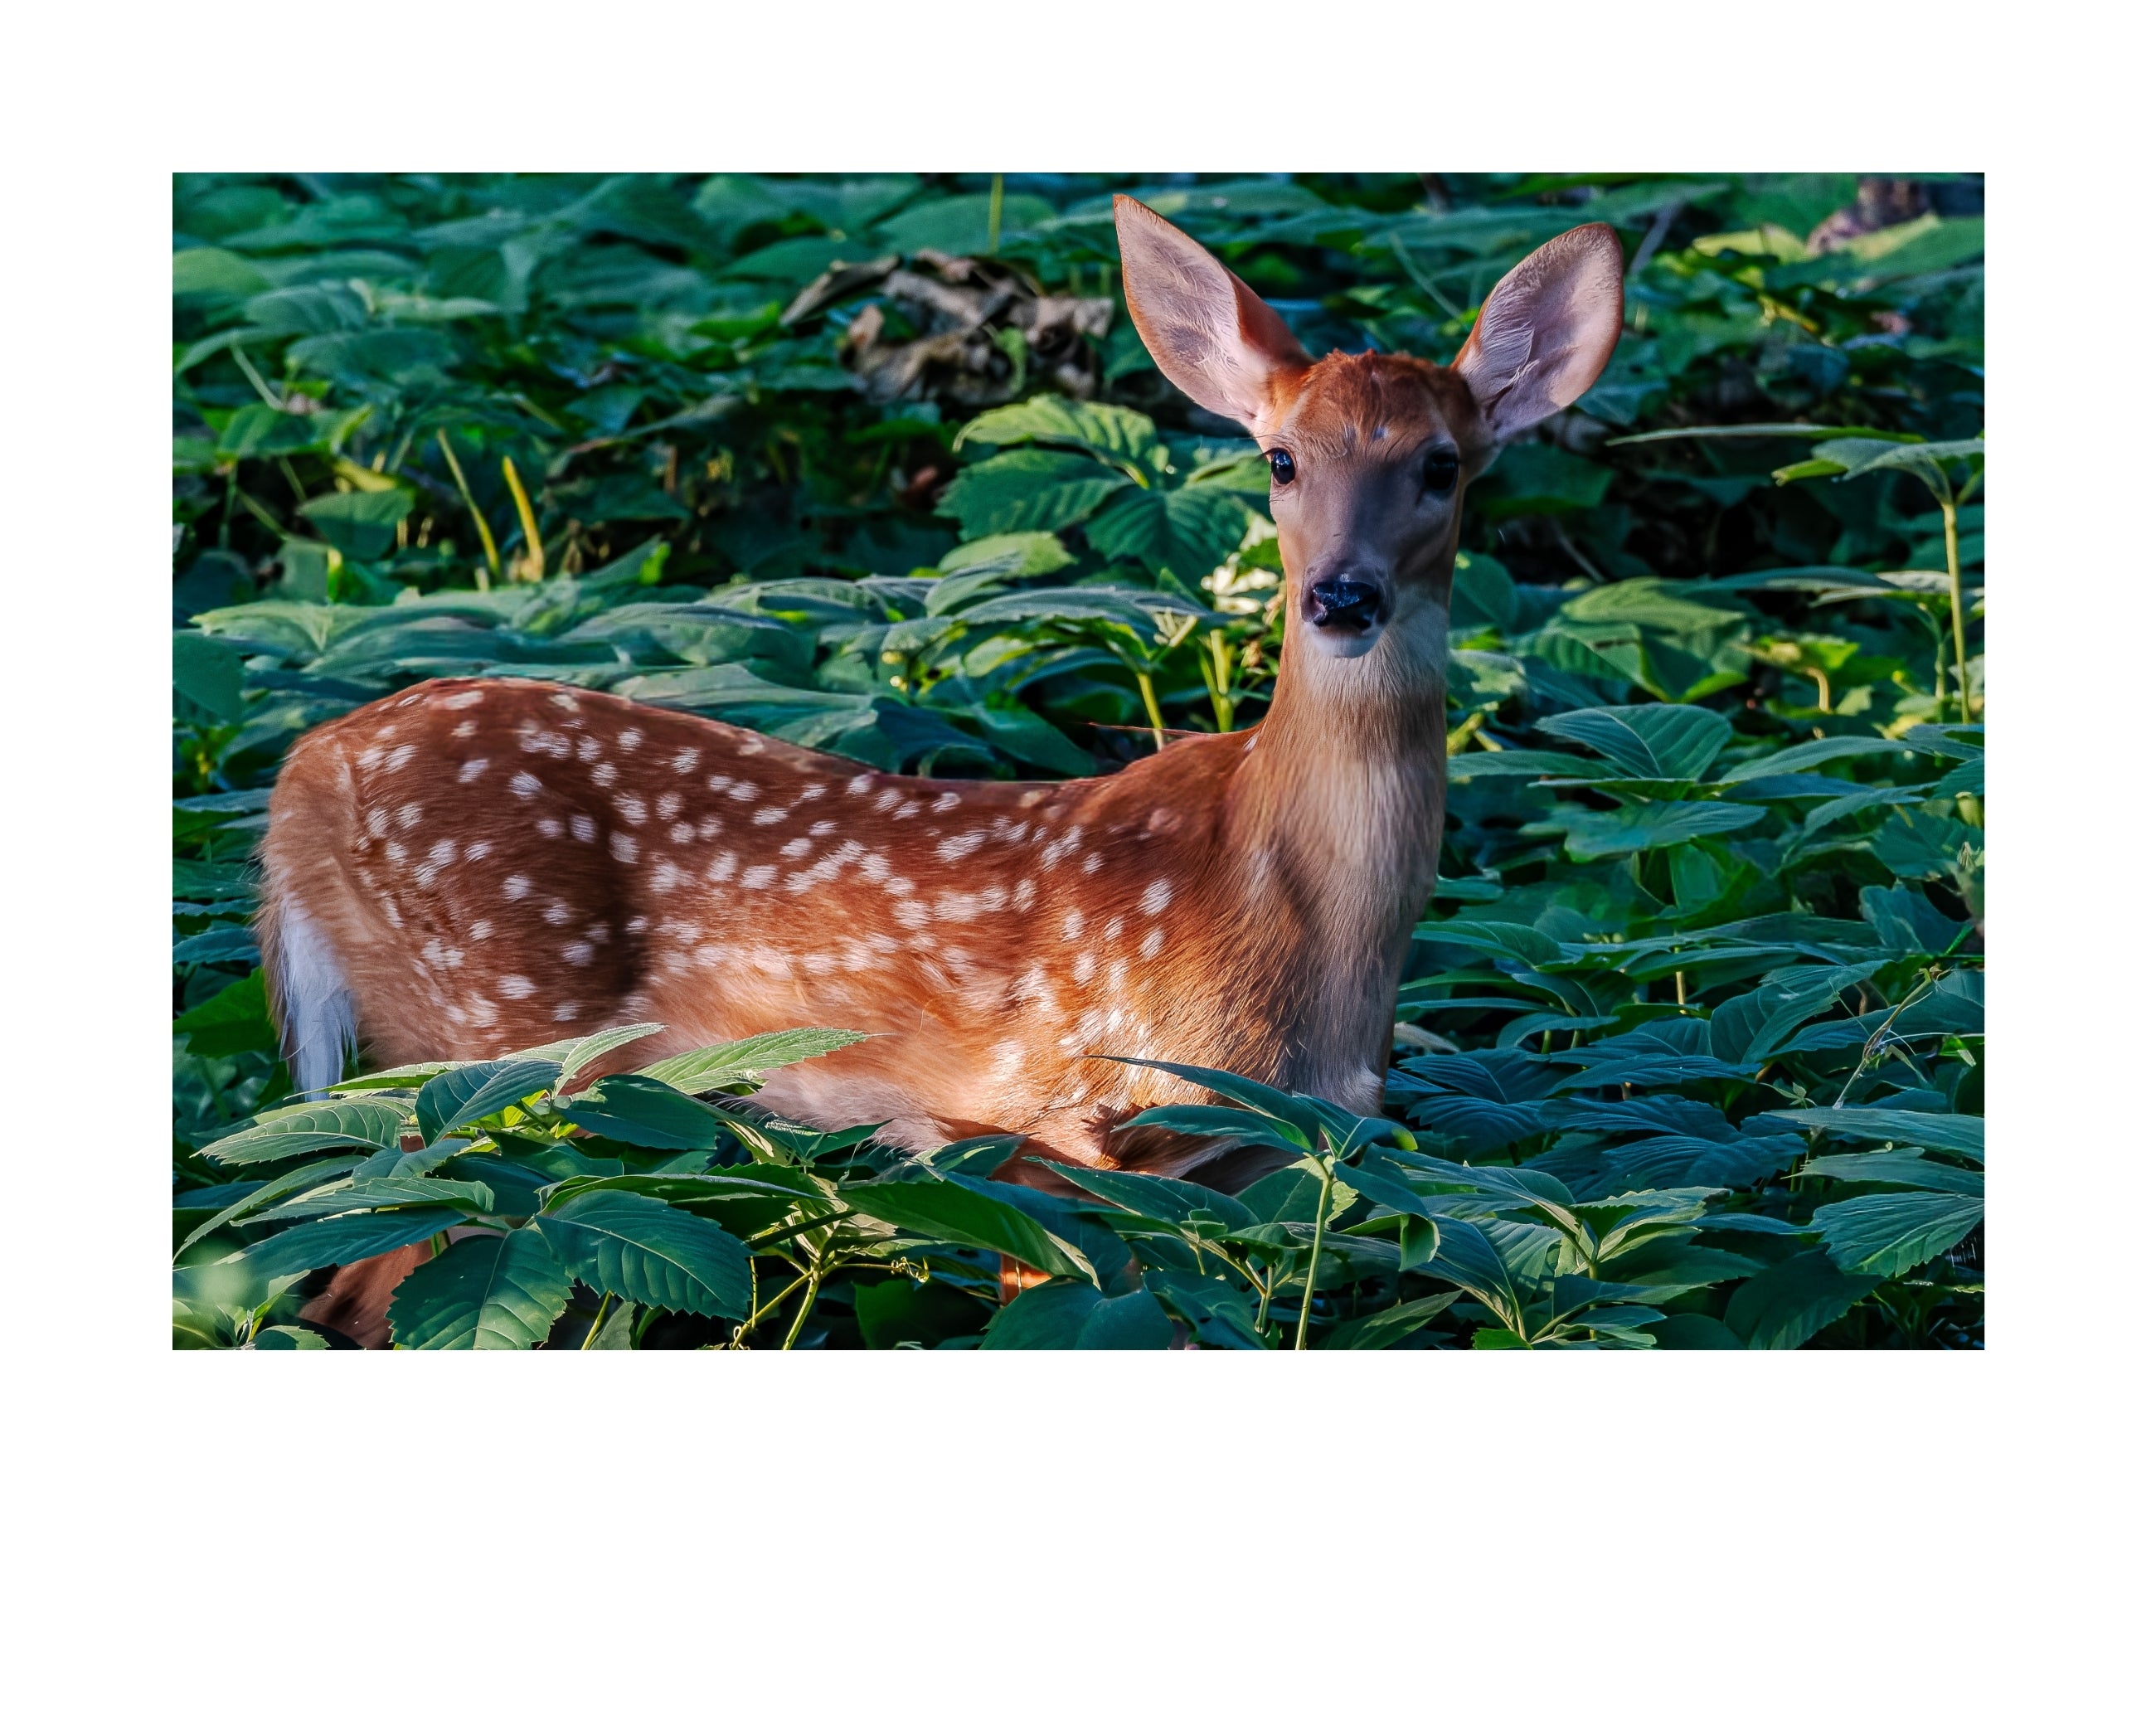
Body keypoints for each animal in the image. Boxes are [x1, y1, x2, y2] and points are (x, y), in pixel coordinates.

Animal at [258, 195, 1623, 1345]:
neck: (1286, 912)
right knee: (358, 1286)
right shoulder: (1051, 1121)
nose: (1342, 596)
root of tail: (298, 780)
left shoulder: (1268, 1157)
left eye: (1441, 466)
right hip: (485, 1043)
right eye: (1281, 459)